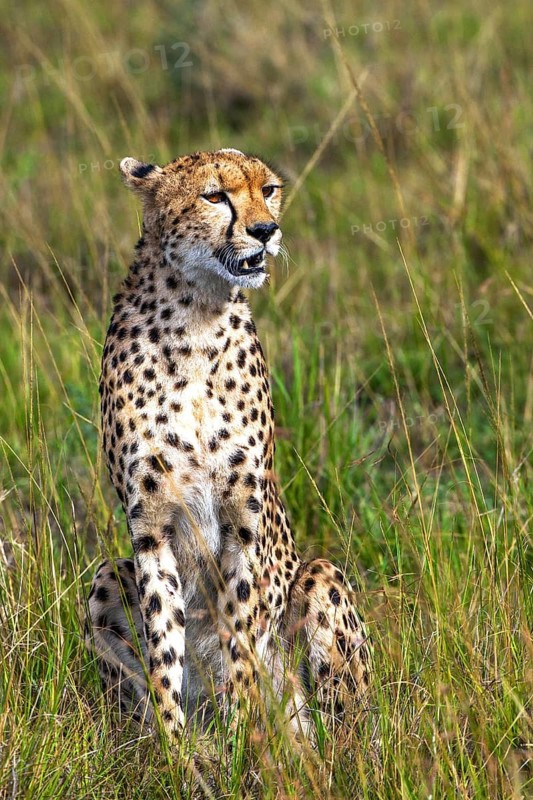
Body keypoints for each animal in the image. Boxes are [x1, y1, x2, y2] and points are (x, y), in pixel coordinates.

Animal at [85, 148, 372, 741]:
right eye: (214, 196)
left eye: (270, 190)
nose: (266, 230)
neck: (195, 317)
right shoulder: (150, 527)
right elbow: (163, 644)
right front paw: (174, 747)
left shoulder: (245, 518)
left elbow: (240, 631)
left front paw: (244, 734)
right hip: (106, 575)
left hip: (321, 578)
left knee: (348, 730)